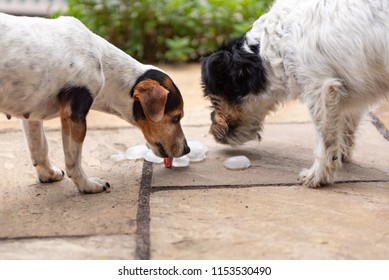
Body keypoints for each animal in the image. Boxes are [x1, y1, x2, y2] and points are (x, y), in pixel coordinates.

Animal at [0, 12, 189, 192]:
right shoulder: (74, 115)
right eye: (176, 117)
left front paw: (48, 174)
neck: (102, 62)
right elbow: (74, 161)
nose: (187, 149)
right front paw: (87, 185)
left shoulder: (31, 114)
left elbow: (39, 148)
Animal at [202, 0, 386, 188]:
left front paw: (318, 176)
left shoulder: (320, 89)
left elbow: (324, 139)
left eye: (213, 99)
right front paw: (340, 156)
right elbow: (346, 126)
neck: (277, 43)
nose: (211, 130)